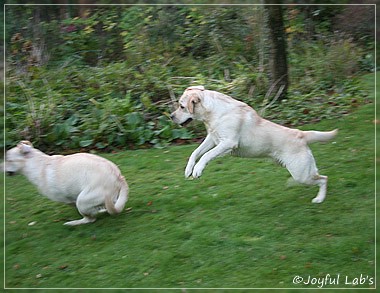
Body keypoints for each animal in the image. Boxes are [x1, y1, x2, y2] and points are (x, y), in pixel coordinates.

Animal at [171, 85, 336, 202]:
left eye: (182, 106)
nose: (171, 116)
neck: (214, 112)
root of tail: (301, 134)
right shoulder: (212, 138)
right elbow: (195, 153)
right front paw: (189, 169)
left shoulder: (228, 143)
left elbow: (206, 155)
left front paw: (198, 170)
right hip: (302, 172)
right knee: (323, 177)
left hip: (301, 174)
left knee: (324, 179)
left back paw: (319, 199)